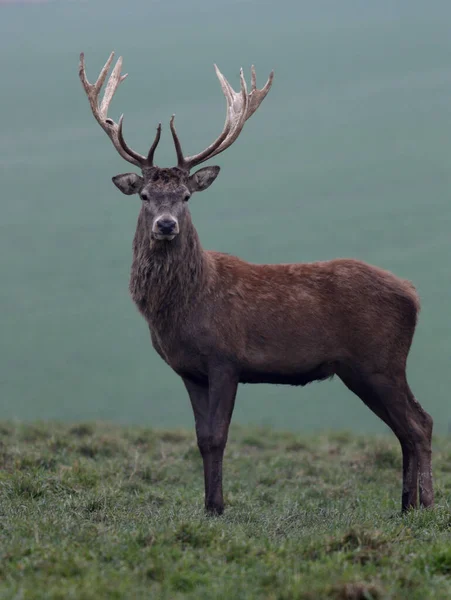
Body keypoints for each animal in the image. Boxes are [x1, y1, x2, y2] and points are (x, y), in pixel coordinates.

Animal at [78, 50, 434, 516]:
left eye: (186, 196)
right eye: (144, 196)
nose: (166, 224)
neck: (185, 306)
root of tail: (412, 294)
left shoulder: (226, 358)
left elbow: (217, 436)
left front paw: (218, 507)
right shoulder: (188, 370)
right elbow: (200, 438)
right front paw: (209, 506)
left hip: (381, 361)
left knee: (418, 424)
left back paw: (426, 505)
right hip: (364, 369)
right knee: (409, 426)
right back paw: (407, 505)